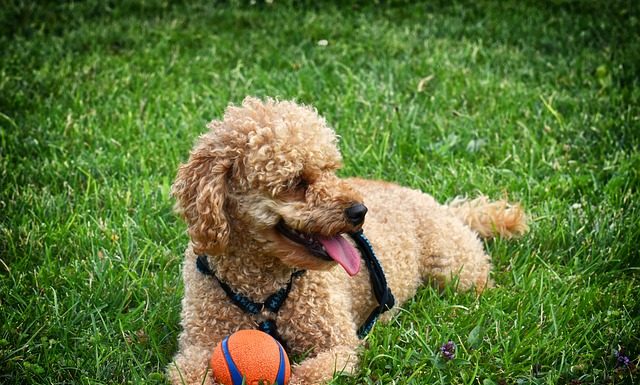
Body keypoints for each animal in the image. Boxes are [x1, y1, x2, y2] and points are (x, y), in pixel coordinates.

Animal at [168, 97, 528, 382]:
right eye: (296, 182)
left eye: (330, 169)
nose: (359, 211)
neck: (264, 291)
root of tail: (441, 206)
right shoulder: (198, 344)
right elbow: (187, 372)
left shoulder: (337, 344)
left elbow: (309, 374)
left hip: (454, 269)